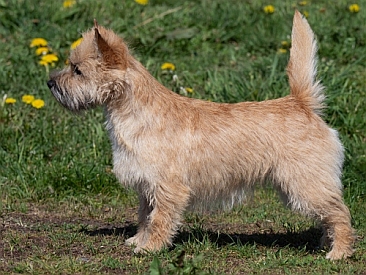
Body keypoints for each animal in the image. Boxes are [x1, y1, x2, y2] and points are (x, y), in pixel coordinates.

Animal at [48, 11, 354, 260]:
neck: (136, 112)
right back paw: (324, 245)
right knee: (329, 215)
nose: (50, 82)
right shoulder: (147, 186)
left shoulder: (167, 187)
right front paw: (138, 240)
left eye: (77, 70)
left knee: (340, 213)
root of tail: (301, 102)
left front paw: (150, 248)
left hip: (306, 184)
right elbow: (145, 216)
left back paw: (339, 252)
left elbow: (159, 220)